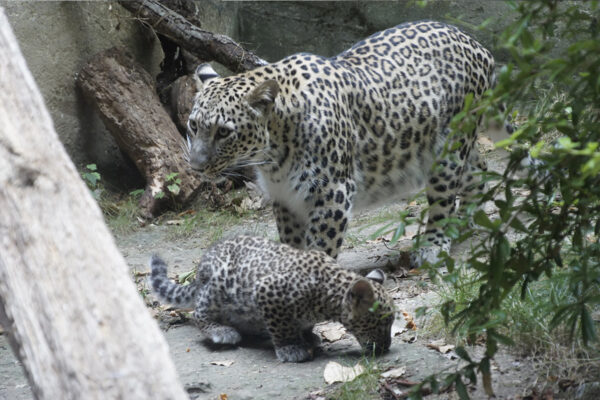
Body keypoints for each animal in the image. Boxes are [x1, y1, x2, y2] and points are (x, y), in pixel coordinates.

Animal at [189, 21, 496, 266]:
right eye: (193, 126)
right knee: (478, 168)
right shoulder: (285, 197)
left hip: (449, 149)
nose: (196, 166)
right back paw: (467, 218)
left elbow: (321, 246)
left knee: (443, 200)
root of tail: (478, 45)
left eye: (224, 132)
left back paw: (434, 245)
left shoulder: (332, 192)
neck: (274, 153)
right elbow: (292, 243)